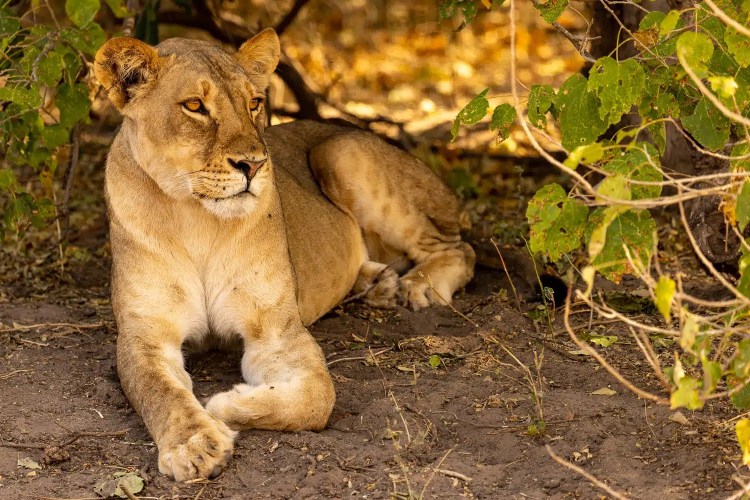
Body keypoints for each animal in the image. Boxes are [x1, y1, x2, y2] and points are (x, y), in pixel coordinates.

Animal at [93, 29, 475, 481]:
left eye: (254, 103)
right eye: (194, 106)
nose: (254, 165)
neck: (196, 219)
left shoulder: (276, 331)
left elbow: (316, 398)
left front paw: (224, 405)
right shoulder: (144, 336)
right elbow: (160, 393)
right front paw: (194, 445)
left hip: (342, 153)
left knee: (460, 248)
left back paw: (418, 287)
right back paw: (379, 284)